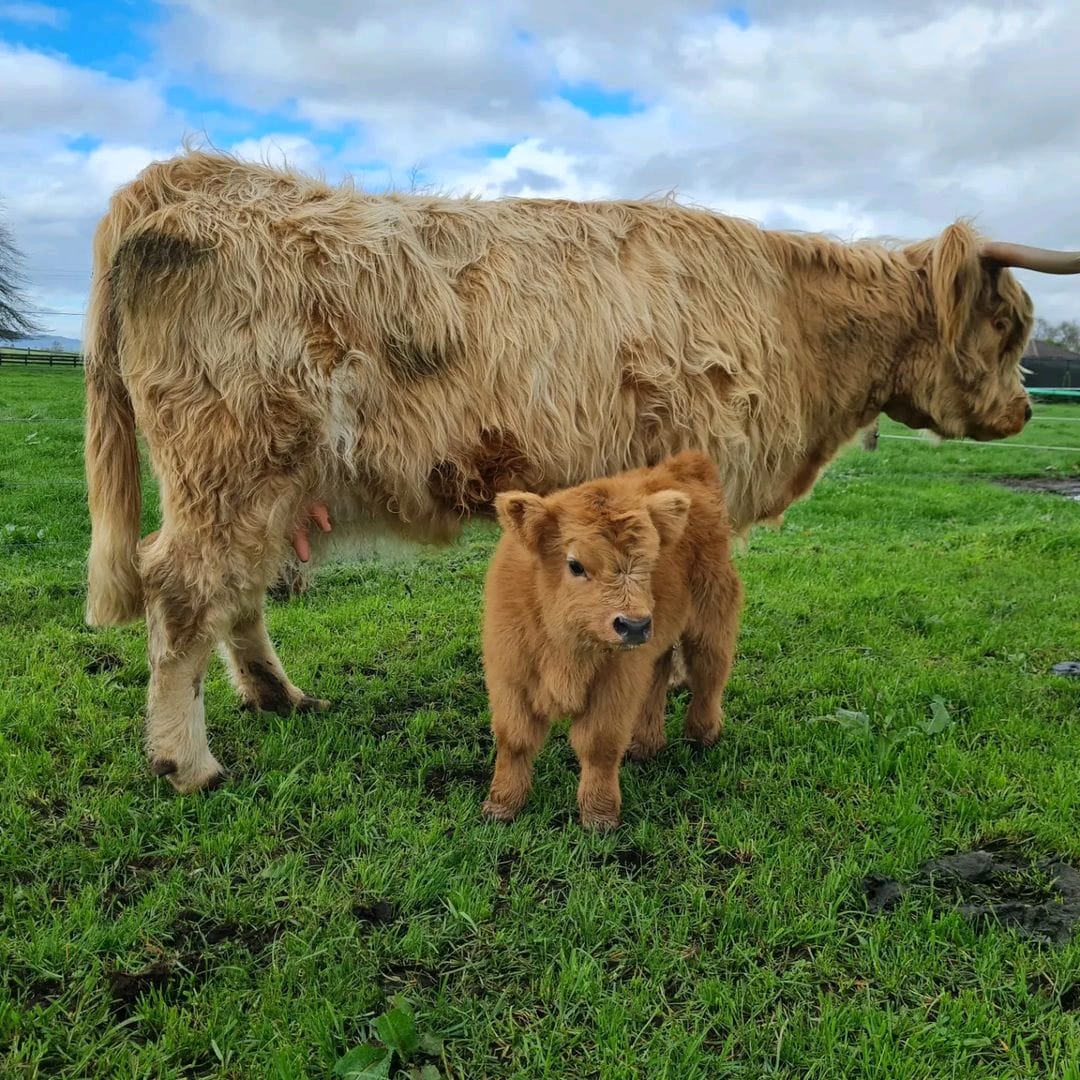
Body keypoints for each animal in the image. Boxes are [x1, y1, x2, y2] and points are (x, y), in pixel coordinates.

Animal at [481, 451, 743, 829]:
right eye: (575, 565)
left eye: (650, 562)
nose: (635, 625)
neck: (568, 646)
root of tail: (686, 464)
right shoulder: (510, 677)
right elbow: (514, 739)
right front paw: (502, 806)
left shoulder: (615, 682)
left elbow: (599, 745)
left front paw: (599, 816)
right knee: (658, 676)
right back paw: (645, 744)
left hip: (711, 619)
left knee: (710, 673)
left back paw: (701, 735)